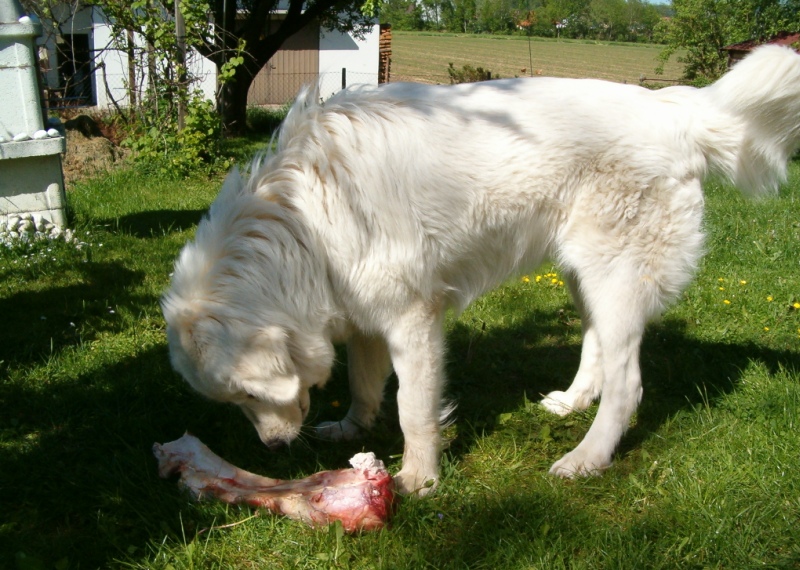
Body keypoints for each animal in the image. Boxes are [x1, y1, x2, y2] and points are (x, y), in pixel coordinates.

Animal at [159, 45, 800, 492]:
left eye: (248, 392)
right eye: (234, 402)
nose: (271, 449)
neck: (301, 221)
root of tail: (676, 109)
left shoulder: (413, 320)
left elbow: (412, 408)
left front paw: (418, 479)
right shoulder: (363, 313)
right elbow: (364, 381)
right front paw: (354, 428)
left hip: (616, 278)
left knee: (629, 385)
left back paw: (585, 459)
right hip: (584, 275)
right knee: (595, 345)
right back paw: (571, 403)